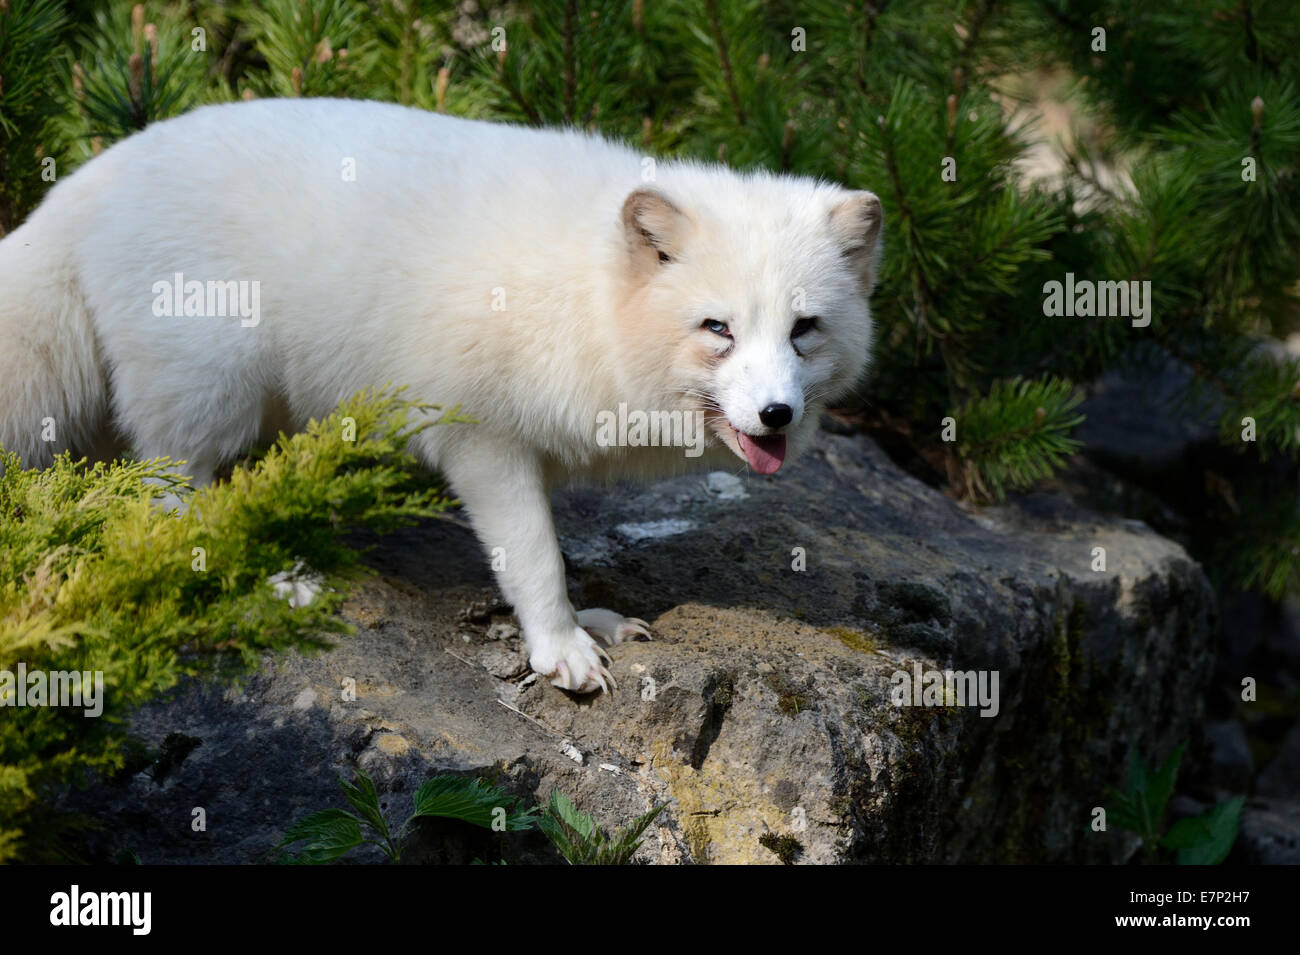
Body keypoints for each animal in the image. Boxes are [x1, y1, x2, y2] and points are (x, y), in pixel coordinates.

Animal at [0, 98, 883, 696]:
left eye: (804, 329)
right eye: (718, 327)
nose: (777, 414)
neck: (585, 290)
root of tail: (86, 180)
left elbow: (549, 552)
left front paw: (589, 619)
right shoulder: (481, 437)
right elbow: (533, 554)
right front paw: (558, 646)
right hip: (213, 383)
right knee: (166, 493)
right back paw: (267, 575)